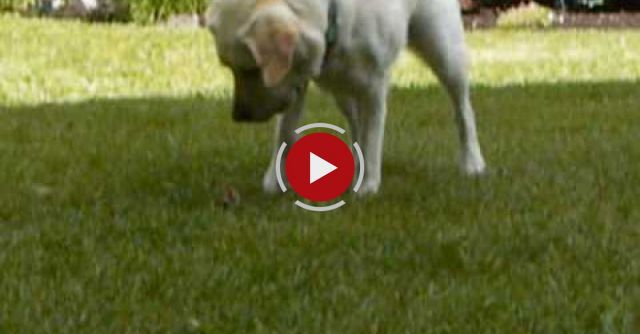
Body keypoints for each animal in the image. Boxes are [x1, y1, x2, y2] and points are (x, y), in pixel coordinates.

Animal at [208, 0, 488, 194]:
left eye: (251, 69)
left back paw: (472, 162)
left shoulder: (374, 84)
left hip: (443, 49)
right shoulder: (296, 79)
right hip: (341, 90)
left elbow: (372, 135)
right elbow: (285, 133)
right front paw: (275, 182)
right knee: (354, 122)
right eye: (230, 67)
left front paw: (367, 186)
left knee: (463, 109)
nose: (238, 115)